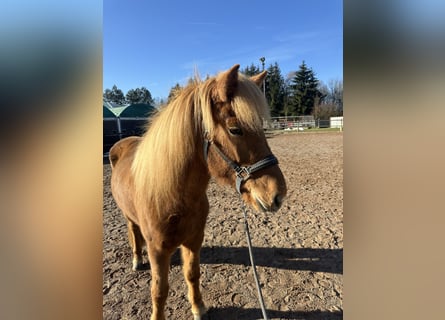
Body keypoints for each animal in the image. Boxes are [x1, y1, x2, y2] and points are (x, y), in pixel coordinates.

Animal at [109, 63, 286, 318]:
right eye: (235, 129)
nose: (278, 194)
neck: (173, 196)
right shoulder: (157, 250)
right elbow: (159, 290)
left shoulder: (194, 240)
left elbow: (192, 274)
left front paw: (198, 308)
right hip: (128, 217)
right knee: (133, 232)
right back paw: (136, 259)